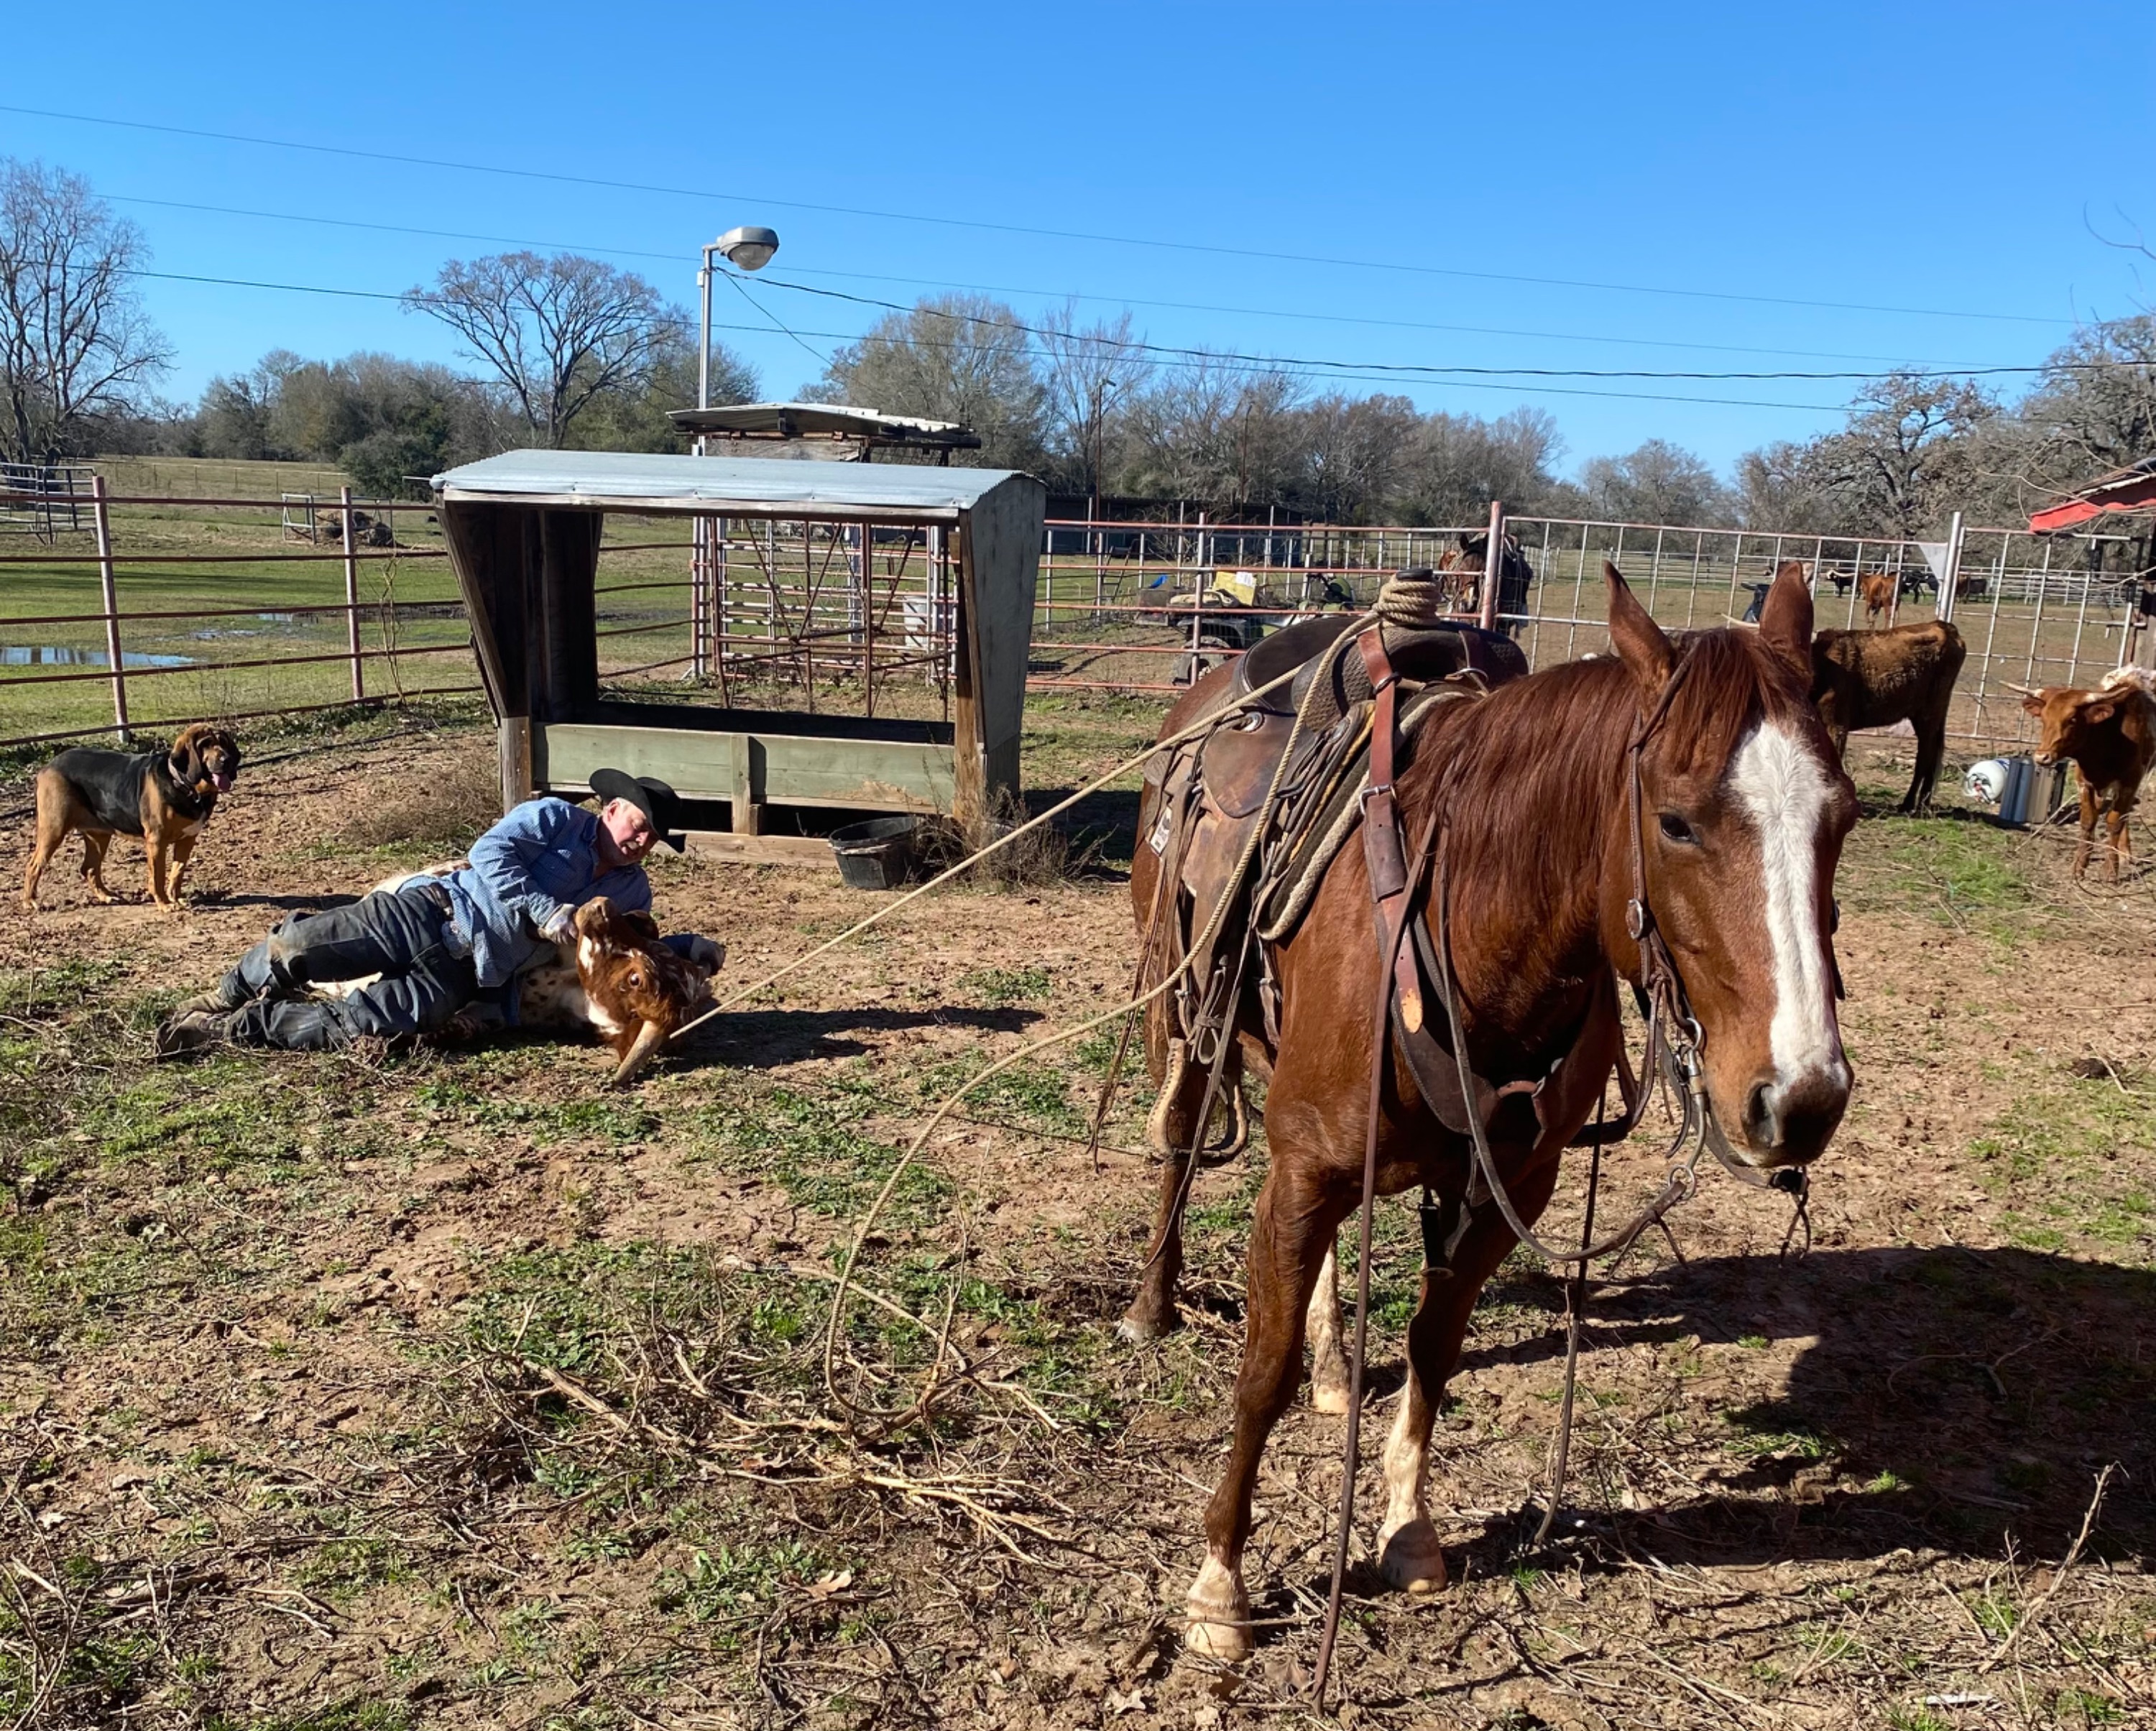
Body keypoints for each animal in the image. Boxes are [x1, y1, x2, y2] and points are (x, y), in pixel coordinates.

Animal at [1133, 559, 1856, 1664]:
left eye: (1843, 817)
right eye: (1676, 820)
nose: (1803, 1099)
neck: (1465, 923)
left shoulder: (1504, 1188)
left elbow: (1434, 1350)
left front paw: (1407, 1530)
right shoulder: (1302, 1171)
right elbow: (1259, 1373)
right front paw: (1220, 1585)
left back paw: (1336, 1364)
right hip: (1184, 1016)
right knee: (1177, 1143)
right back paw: (1151, 1303)